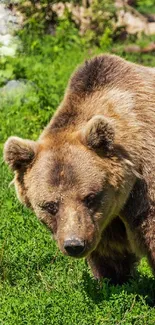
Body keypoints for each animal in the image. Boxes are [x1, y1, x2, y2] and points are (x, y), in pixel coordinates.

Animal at [3, 53, 155, 284]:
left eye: (90, 197)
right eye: (50, 205)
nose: (74, 245)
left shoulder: (143, 189)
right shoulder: (106, 221)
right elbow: (111, 250)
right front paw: (112, 278)